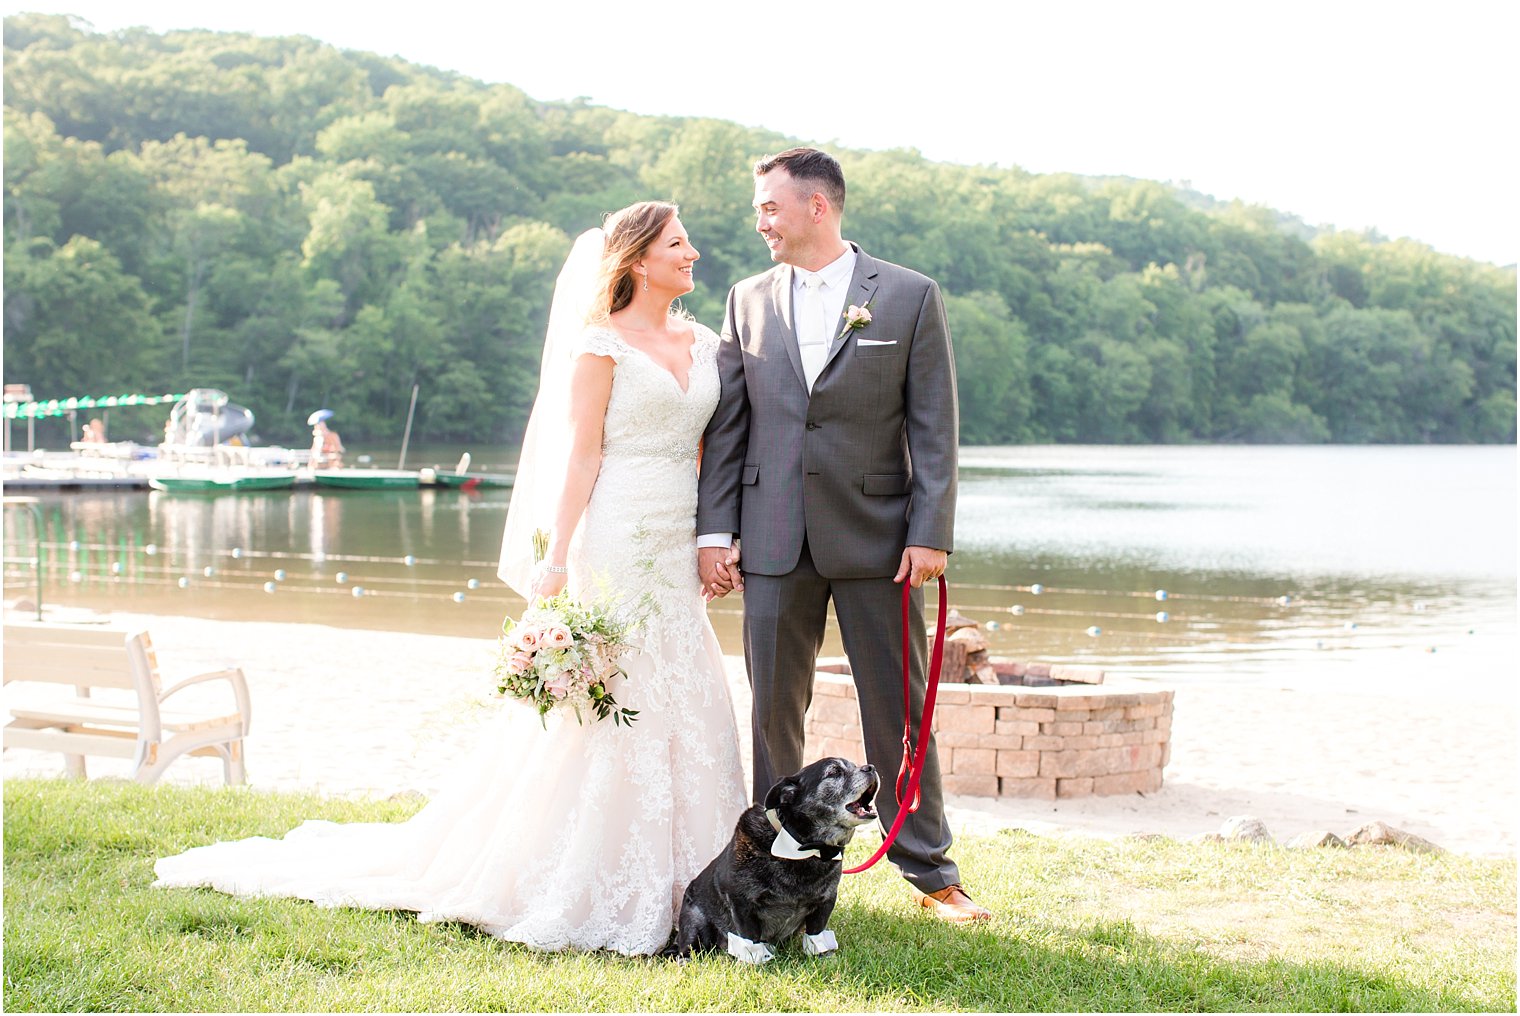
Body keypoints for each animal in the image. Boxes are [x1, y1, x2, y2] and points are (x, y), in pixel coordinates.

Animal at [674, 757, 881, 967]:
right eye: (834, 772)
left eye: (854, 765)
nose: (871, 767)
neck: (802, 849)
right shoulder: (741, 903)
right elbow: (750, 939)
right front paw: (753, 965)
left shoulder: (826, 901)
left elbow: (817, 934)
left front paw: (823, 958)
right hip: (695, 923)